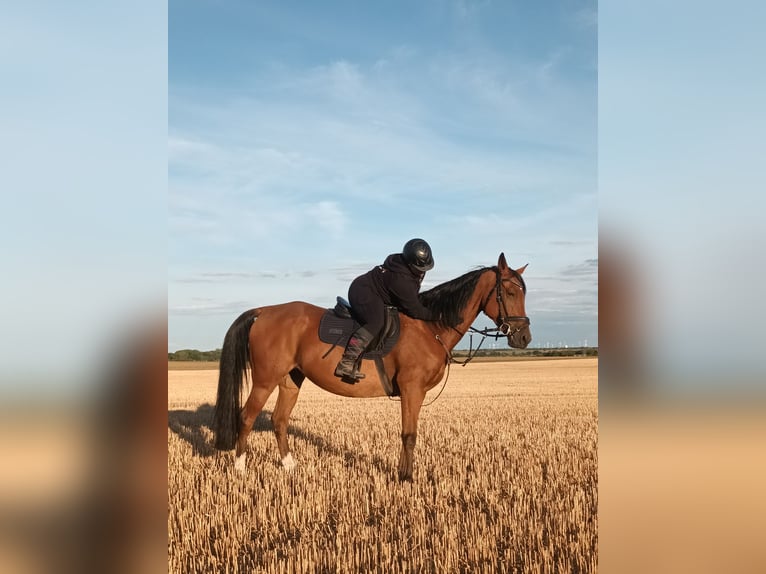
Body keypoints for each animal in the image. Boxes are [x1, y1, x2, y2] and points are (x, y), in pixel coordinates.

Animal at [213, 254, 532, 484]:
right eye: (508, 292)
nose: (524, 338)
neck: (431, 327)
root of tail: (264, 311)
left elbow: (409, 434)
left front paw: (404, 474)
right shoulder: (411, 389)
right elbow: (409, 434)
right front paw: (406, 478)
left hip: (290, 380)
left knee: (279, 421)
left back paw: (290, 466)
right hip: (264, 380)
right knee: (247, 417)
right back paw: (240, 468)